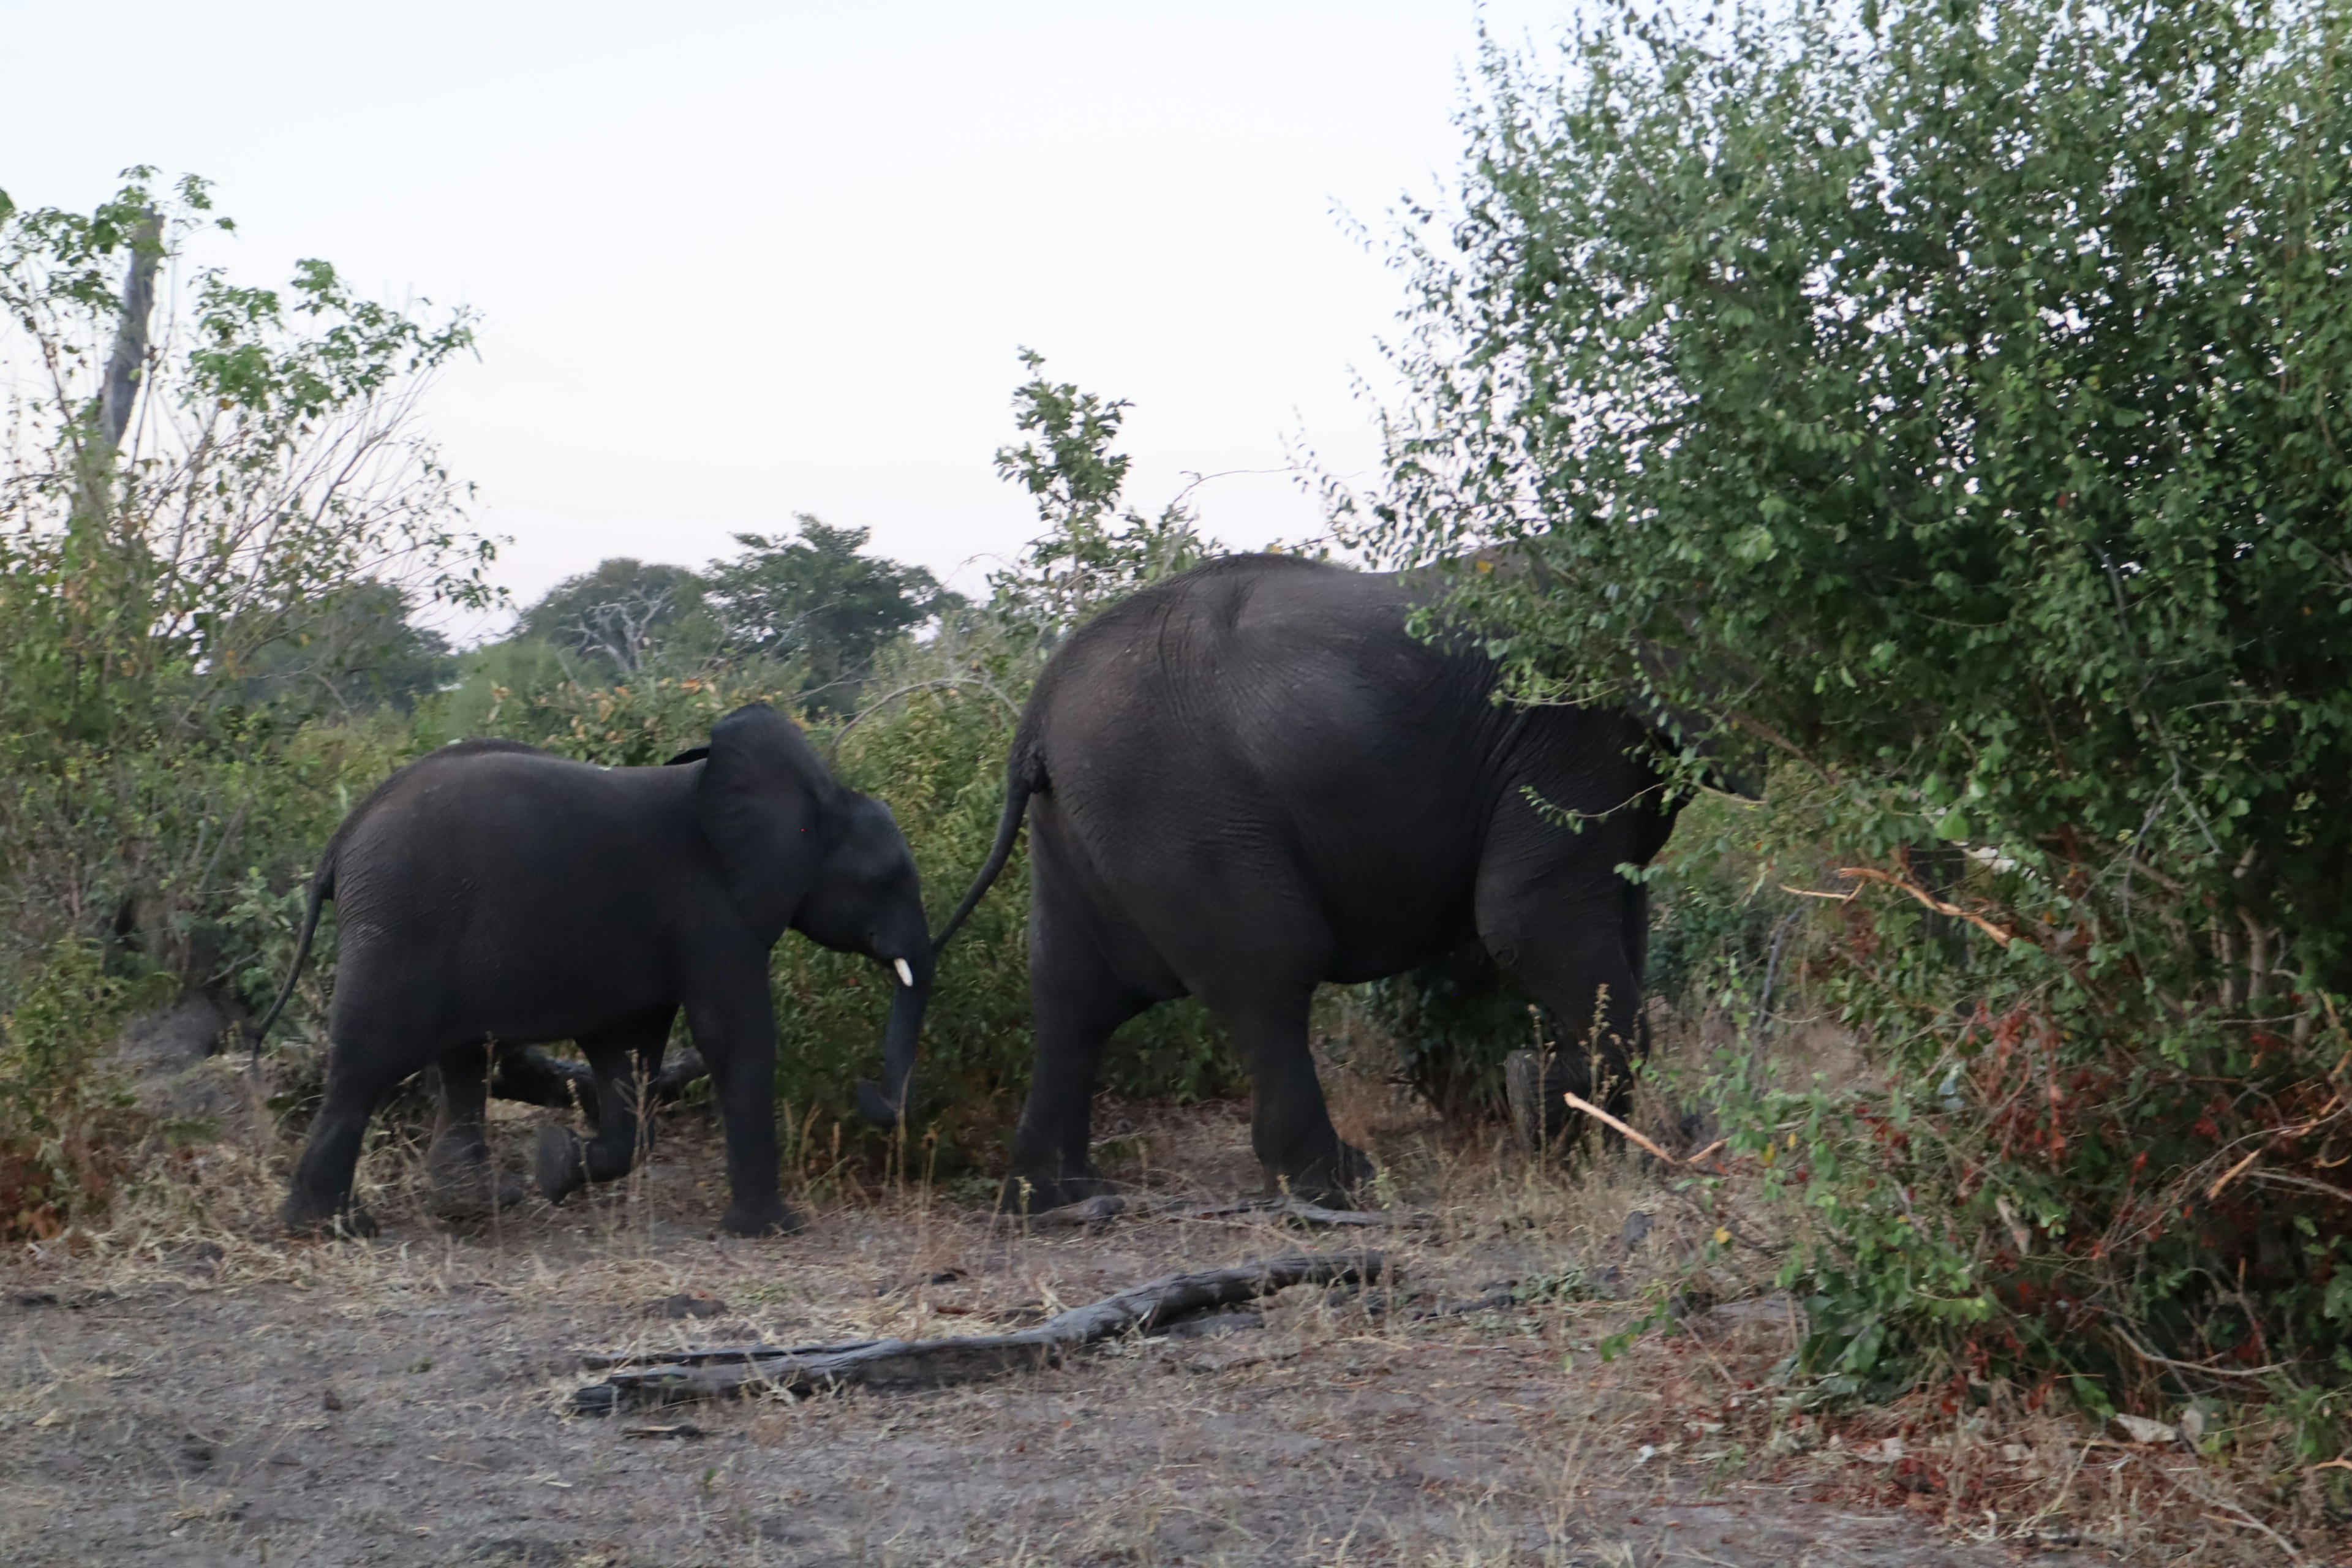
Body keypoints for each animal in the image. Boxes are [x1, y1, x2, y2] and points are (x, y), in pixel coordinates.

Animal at [248, 705, 926, 1232]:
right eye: (888, 880)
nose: (866, 1089)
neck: (811, 794)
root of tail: (343, 837)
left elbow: (627, 1050)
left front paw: (555, 1166)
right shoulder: (714, 907)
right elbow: (735, 1037)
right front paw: (771, 1231)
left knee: (462, 1061)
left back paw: (476, 1203)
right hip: (400, 920)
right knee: (368, 1062)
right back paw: (333, 1228)